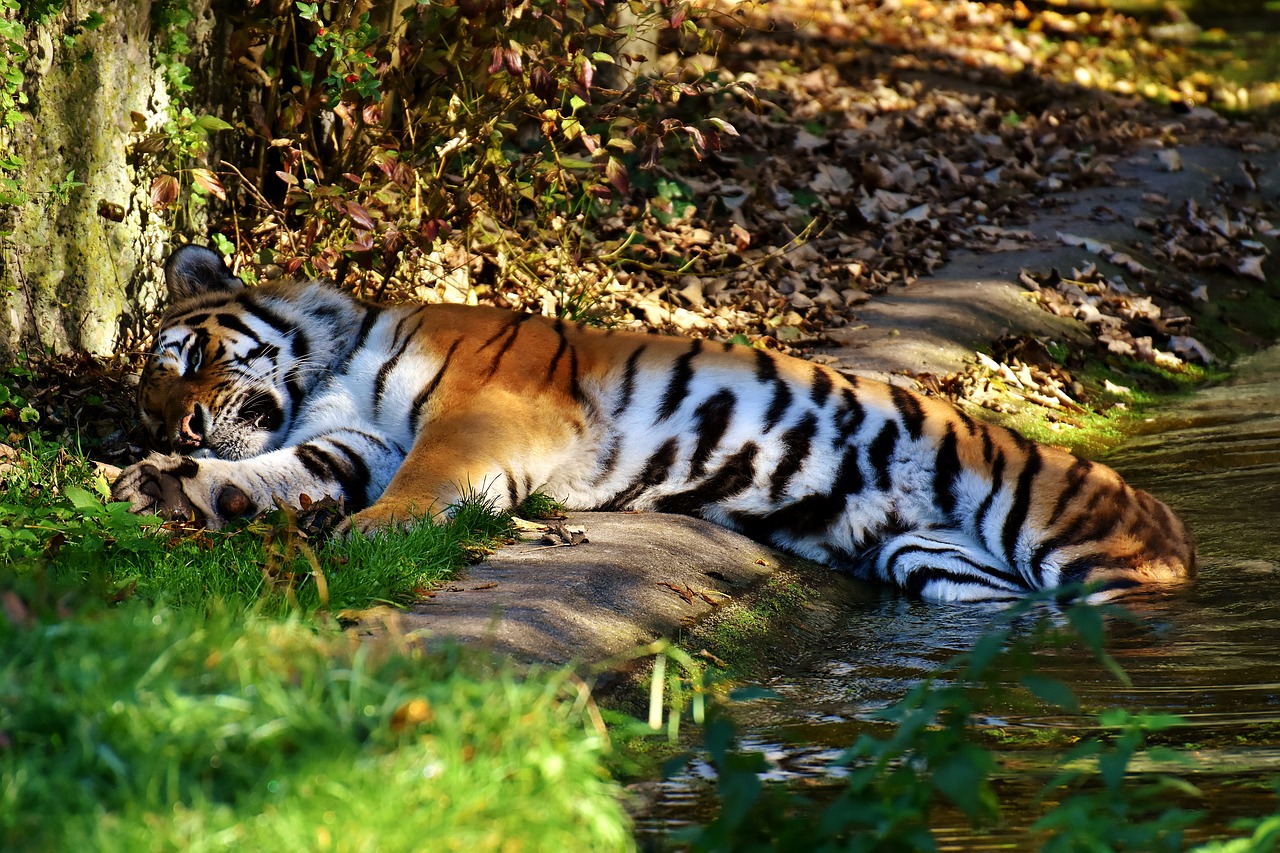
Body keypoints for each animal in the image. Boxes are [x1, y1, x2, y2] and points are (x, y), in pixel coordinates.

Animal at [112, 242, 1198, 601]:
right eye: (148, 408)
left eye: (186, 360)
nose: (179, 433)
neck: (328, 369)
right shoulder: (355, 440)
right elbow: (282, 473)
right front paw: (169, 491)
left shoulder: (481, 409)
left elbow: (428, 475)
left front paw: (375, 532)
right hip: (933, 561)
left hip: (1072, 545)